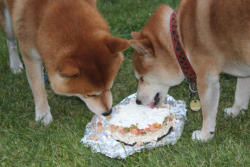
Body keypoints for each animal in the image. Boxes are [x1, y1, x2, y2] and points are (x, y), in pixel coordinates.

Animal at [0, 0, 129, 124]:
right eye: (91, 94)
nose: (108, 112)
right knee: (11, 42)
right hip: (9, 24)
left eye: (109, 87)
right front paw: (43, 114)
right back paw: (15, 65)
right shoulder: (30, 55)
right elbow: (38, 87)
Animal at [130, 0, 249, 141]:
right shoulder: (244, 71)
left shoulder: (206, 79)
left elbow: (208, 112)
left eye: (142, 78)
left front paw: (204, 135)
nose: (137, 101)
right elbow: (240, 95)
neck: (179, 37)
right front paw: (235, 112)